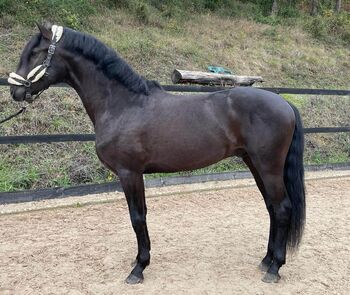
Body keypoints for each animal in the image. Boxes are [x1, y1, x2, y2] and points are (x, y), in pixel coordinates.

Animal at [9, 24, 304, 286]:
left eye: (36, 53)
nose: (15, 91)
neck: (123, 104)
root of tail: (284, 103)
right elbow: (140, 216)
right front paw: (139, 260)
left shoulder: (129, 173)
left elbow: (137, 217)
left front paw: (139, 268)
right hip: (254, 164)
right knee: (271, 208)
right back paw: (266, 260)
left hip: (268, 167)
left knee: (282, 208)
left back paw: (275, 267)